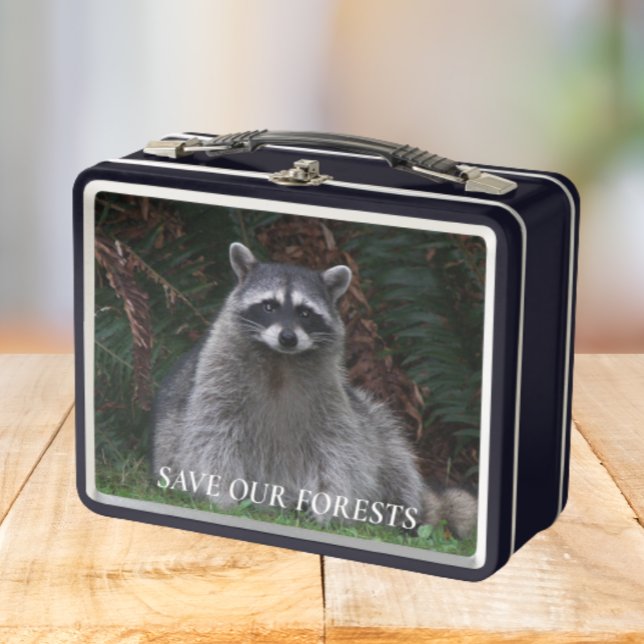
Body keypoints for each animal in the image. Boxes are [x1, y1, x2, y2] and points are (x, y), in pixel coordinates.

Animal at [151, 242, 476, 538]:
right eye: (268, 306)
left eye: (305, 313)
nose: (288, 337)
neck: (280, 359)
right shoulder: (215, 379)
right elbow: (212, 436)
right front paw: (222, 495)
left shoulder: (331, 394)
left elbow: (338, 450)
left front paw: (330, 508)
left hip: (368, 419)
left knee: (391, 452)